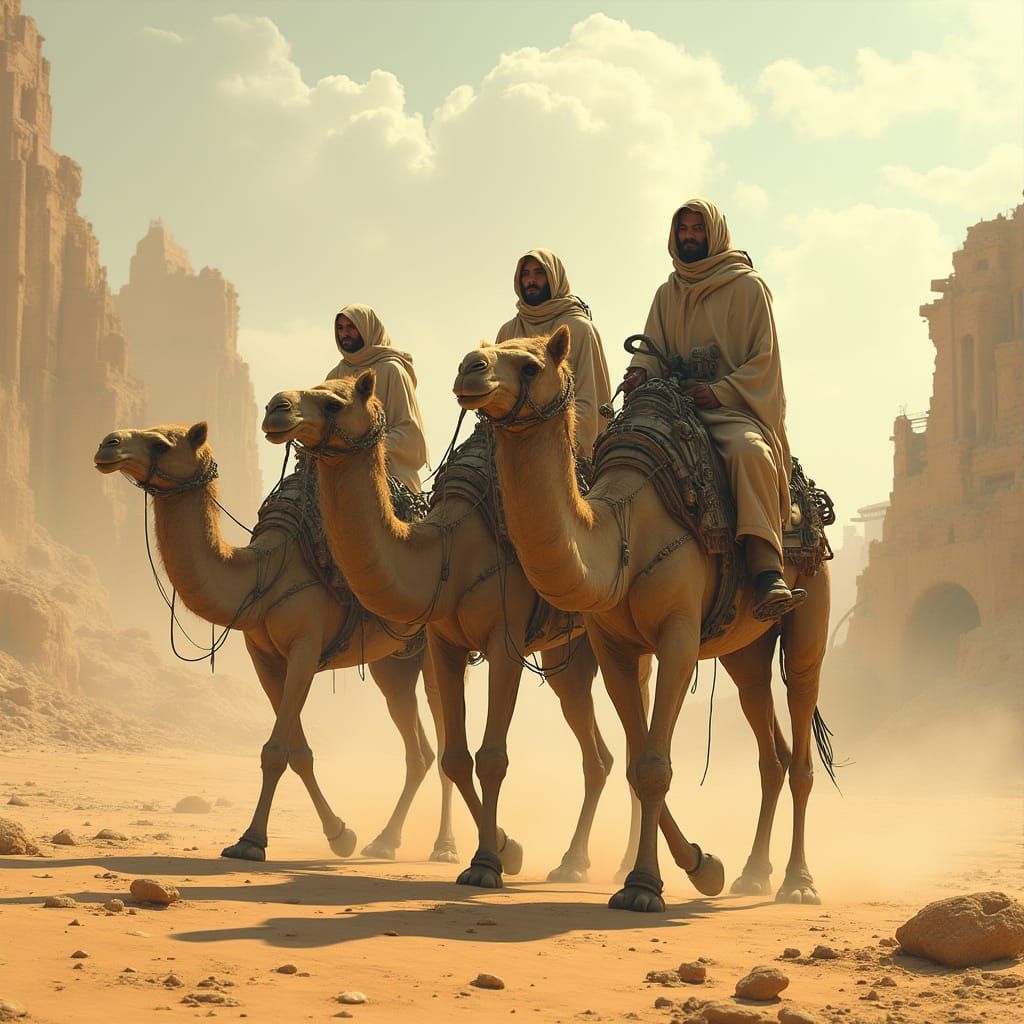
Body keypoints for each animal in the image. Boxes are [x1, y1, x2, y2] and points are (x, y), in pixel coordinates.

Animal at [94, 421, 459, 866]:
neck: (265, 573)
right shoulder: (264, 658)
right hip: (392, 663)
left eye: (160, 443)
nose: (107, 444)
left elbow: (275, 751)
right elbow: (297, 752)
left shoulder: (305, 647)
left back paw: (444, 848)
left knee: (443, 742)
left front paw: (250, 841)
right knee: (418, 747)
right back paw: (384, 841)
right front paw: (341, 835)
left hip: (434, 643)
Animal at [262, 375, 655, 889]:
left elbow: (491, 756)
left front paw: (491, 861)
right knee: (599, 753)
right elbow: (455, 754)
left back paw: (626, 864)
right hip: (567, 658)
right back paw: (572, 861)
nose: (276, 408)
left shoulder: (505, 639)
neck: (450, 545)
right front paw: (504, 850)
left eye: (333, 401)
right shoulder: (441, 639)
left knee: (632, 739)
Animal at [452, 326, 831, 912]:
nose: (469, 369)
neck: (623, 528)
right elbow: (637, 762)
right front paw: (703, 866)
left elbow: (654, 766)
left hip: (811, 609)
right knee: (772, 751)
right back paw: (751, 874)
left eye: (531, 364)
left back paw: (797, 883)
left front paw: (646, 887)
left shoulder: (677, 634)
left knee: (804, 742)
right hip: (744, 649)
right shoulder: (614, 645)